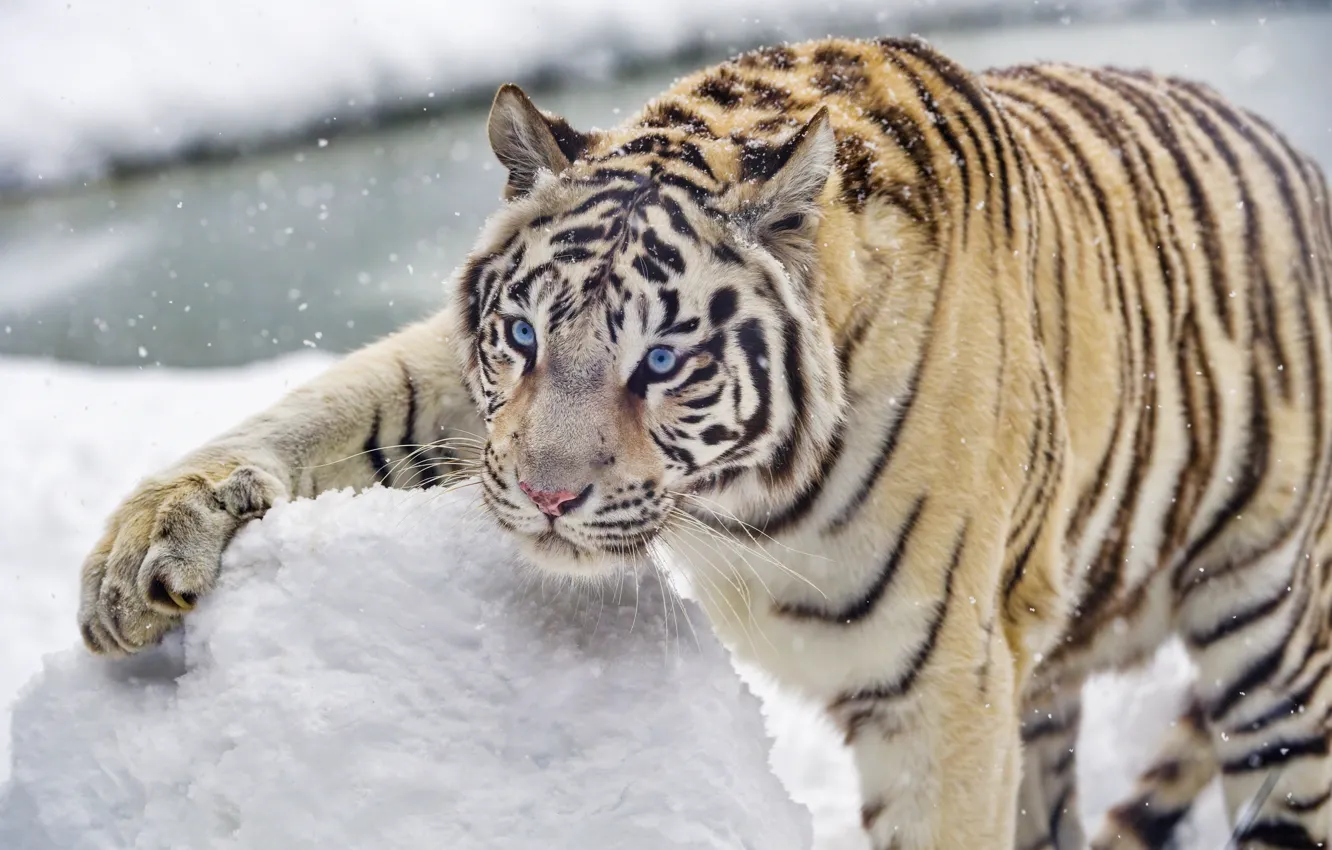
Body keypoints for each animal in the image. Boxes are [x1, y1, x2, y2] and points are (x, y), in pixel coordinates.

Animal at [73, 34, 1332, 849]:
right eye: (522, 335)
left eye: (665, 362)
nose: (548, 498)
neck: (741, 500)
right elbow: (333, 407)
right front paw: (137, 563)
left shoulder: (944, 690)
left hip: (1274, 641)